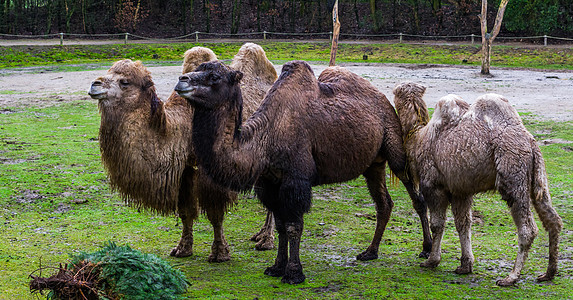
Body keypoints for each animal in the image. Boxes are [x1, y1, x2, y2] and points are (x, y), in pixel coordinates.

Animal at [86, 43, 278, 262]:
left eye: (124, 82)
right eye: (109, 71)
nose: (95, 84)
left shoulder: (210, 172)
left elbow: (215, 213)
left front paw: (220, 252)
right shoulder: (185, 171)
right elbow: (185, 212)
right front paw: (183, 248)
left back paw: (266, 240)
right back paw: (260, 234)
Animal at [174, 60, 428, 284]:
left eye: (214, 77)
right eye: (198, 68)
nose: (181, 80)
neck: (264, 142)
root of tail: (383, 98)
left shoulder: (296, 179)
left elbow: (294, 226)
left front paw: (293, 273)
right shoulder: (270, 183)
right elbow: (280, 226)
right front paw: (276, 267)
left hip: (394, 145)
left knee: (415, 196)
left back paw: (425, 251)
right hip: (373, 164)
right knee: (384, 203)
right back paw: (370, 252)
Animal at [392, 81, 560, 286]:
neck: (418, 137)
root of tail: (530, 142)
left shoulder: (433, 185)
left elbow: (438, 224)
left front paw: (432, 260)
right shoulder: (459, 190)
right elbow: (463, 223)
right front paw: (465, 265)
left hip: (513, 173)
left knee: (528, 228)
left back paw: (511, 277)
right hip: (537, 177)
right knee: (552, 218)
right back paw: (548, 273)